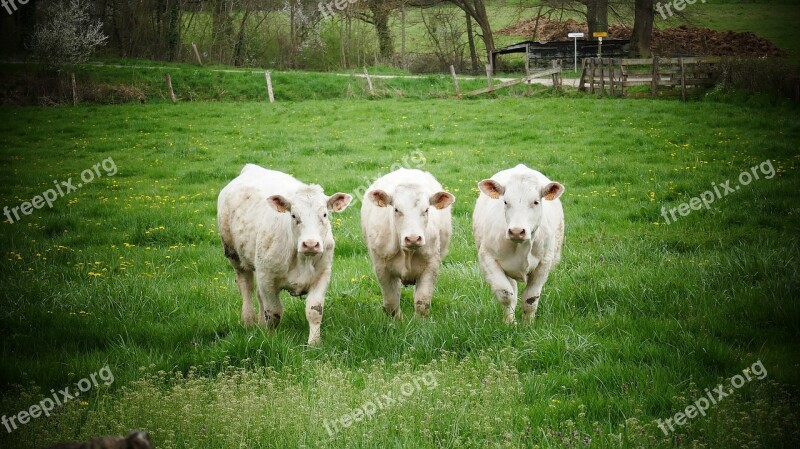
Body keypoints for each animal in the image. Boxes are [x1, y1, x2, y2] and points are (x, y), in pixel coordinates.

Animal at [216, 164, 350, 344]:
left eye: (324, 214)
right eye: (293, 215)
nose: (310, 244)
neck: (301, 259)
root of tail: (251, 168)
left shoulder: (322, 275)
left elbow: (314, 311)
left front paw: (314, 343)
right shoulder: (267, 278)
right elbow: (273, 313)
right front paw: (271, 340)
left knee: (258, 295)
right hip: (235, 256)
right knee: (246, 287)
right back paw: (248, 321)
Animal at [362, 168, 456, 318]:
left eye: (426, 210)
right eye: (396, 209)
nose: (413, 238)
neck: (408, 253)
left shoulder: (432, 267)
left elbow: (422, 302)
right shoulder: (381, 268)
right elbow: (391, 303)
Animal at [472, 164, 564, 322]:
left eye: (536, 202)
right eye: (505, 202)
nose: (516, 231)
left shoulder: (545, 262)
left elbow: (530, 299)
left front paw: (529, 324)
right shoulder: (487, 258)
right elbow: (506, 295)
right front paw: (509, 323)